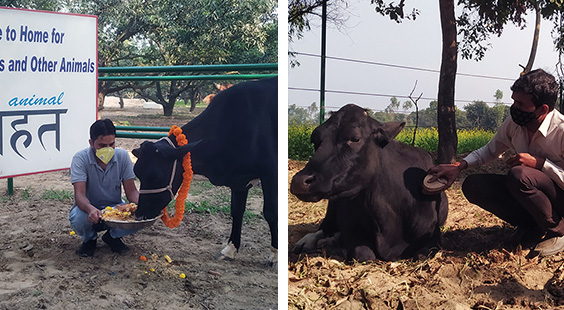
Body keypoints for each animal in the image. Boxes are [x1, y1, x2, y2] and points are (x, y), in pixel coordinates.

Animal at [132, 77, 278, 266]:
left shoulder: (270, 174)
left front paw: (275, 255)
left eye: (155, 176)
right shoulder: (239, 180)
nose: (139, 214)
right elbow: (237, 211)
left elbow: (271, 213)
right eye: (137, 172)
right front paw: (230, 249)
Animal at [290, 104, 450, 262]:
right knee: (324, 228)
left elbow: (422, 256)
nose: (299, 181)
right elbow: (364, 254)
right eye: (315, 139)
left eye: (355, 138)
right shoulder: (351, 229)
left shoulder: (433, 236)